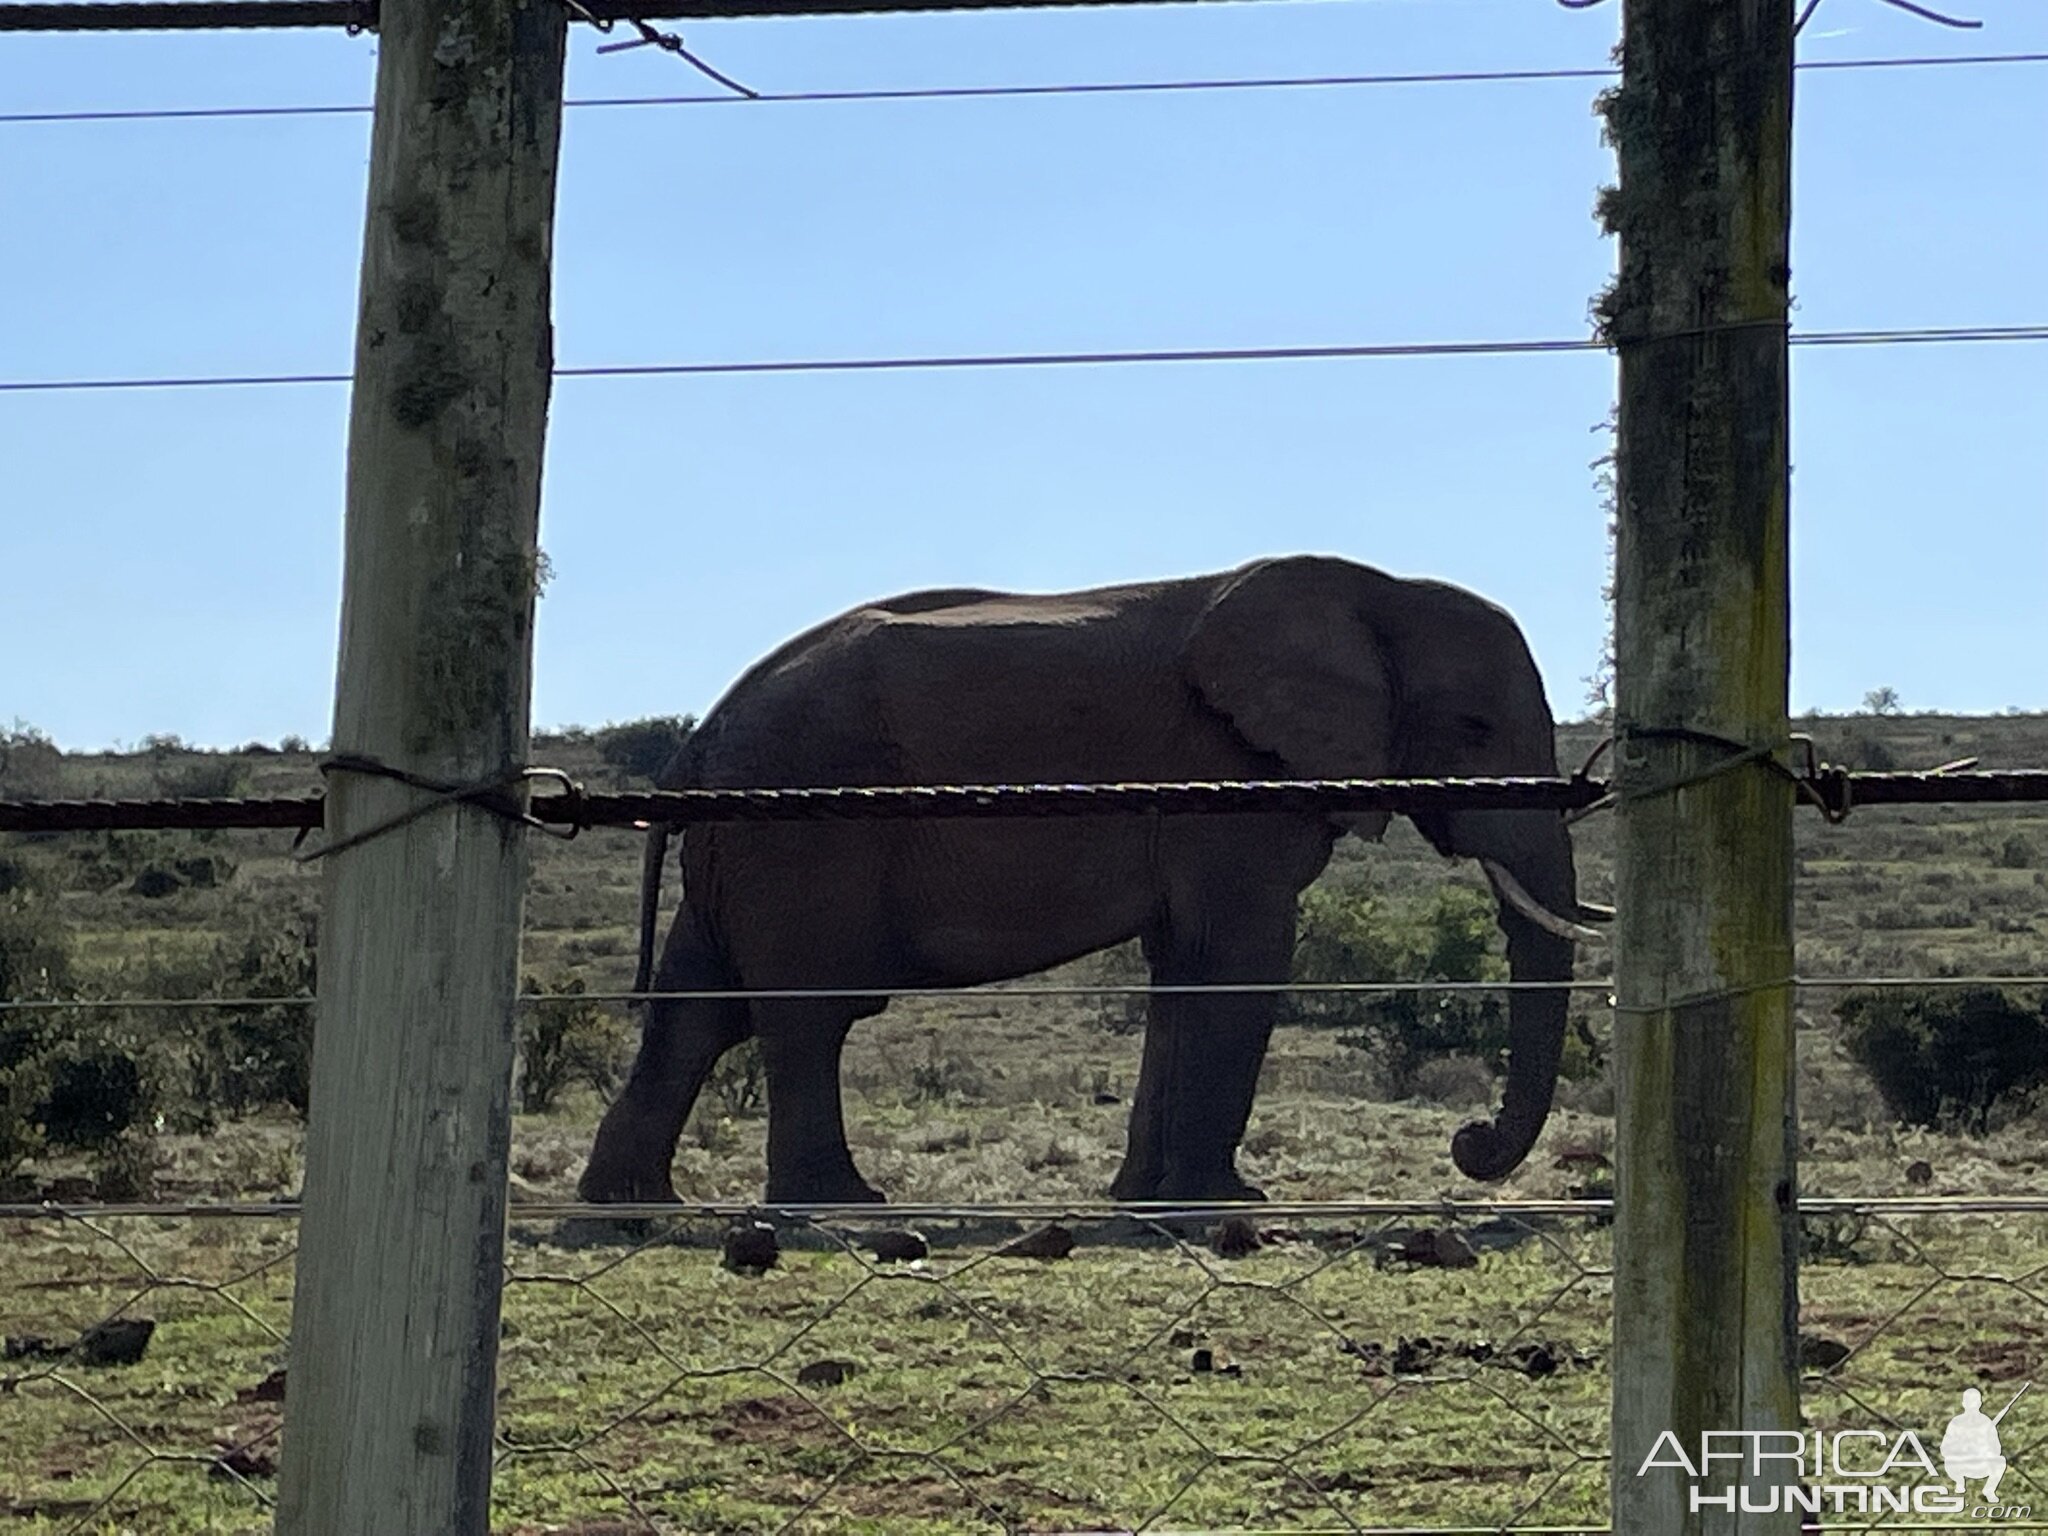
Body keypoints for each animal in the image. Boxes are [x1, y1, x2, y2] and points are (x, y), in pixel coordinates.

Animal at [577, 557, 1597, 1212]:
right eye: (1474, 727)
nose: (1468, 1143)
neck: (1375, 591)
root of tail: (699, 738)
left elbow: (1181, 967)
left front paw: (1146, 1202)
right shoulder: (1227, 778)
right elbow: (1239, 956)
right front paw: (1228, 1205)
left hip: (742, 846)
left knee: (696, 1011)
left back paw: (630, 1209)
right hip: (799, 833)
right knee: (804, 1013)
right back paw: (844, 1208)